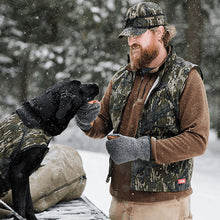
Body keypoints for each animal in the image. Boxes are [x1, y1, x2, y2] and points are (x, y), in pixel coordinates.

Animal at [0, 80, 99, 219]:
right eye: (79, 86)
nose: (96, 84)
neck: (38, 120)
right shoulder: (18, 174)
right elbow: (21, 208)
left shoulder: (25, 176)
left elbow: (29, 205)